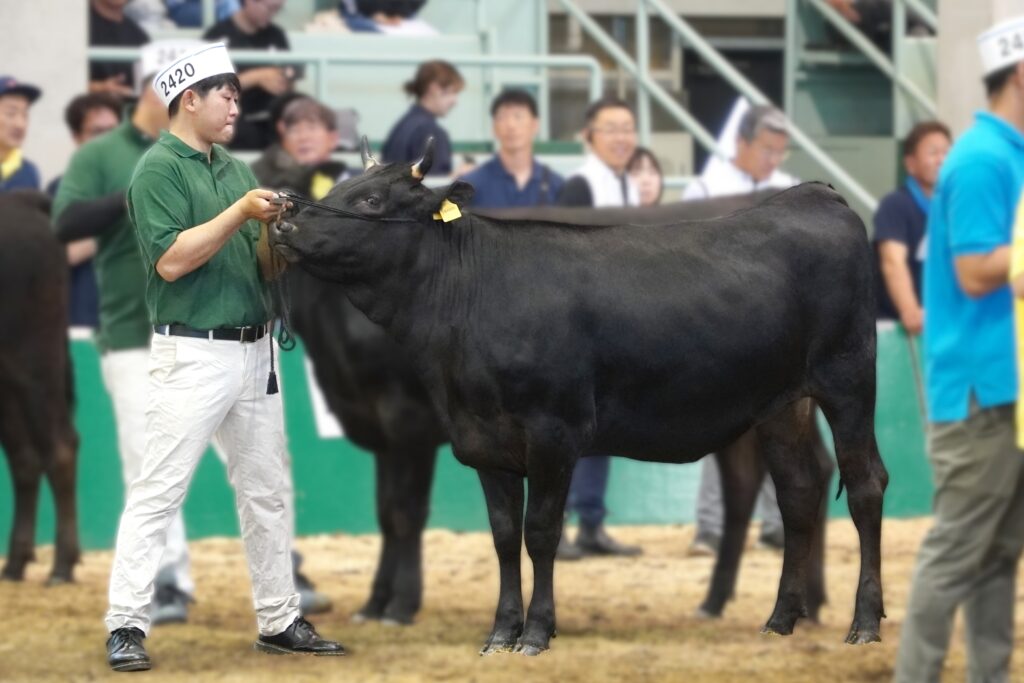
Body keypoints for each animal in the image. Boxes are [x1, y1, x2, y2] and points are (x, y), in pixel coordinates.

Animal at [272, 140, 888, 655]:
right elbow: (502, 536)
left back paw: (862, 622)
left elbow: (537, 532)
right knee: (798, 490)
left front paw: (534, 632)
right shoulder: (479, 438)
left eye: (371, 198)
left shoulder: (550, 432)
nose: (284, 219)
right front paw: (500, 631)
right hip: (781, 403)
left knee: (864, 484)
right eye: (337, 187)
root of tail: (813, 194)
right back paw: (781, 617)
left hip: (848, 376)